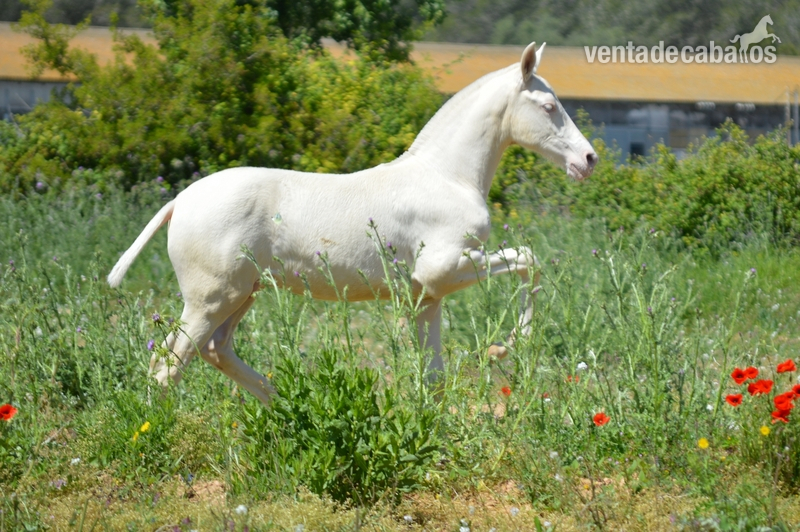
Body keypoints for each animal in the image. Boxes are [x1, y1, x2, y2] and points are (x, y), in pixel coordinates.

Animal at [108, 42, 598, 406]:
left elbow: (433, 377)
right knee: (169, 367)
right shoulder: (444, 269)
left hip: (243, 294)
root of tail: (180, 201)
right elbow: (530, 260)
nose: (588, 159)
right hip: (210, 299)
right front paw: (504, 346)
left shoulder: (426, 296)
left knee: (215, 350)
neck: (447, 177)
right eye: (549, 105)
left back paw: (289, 407)